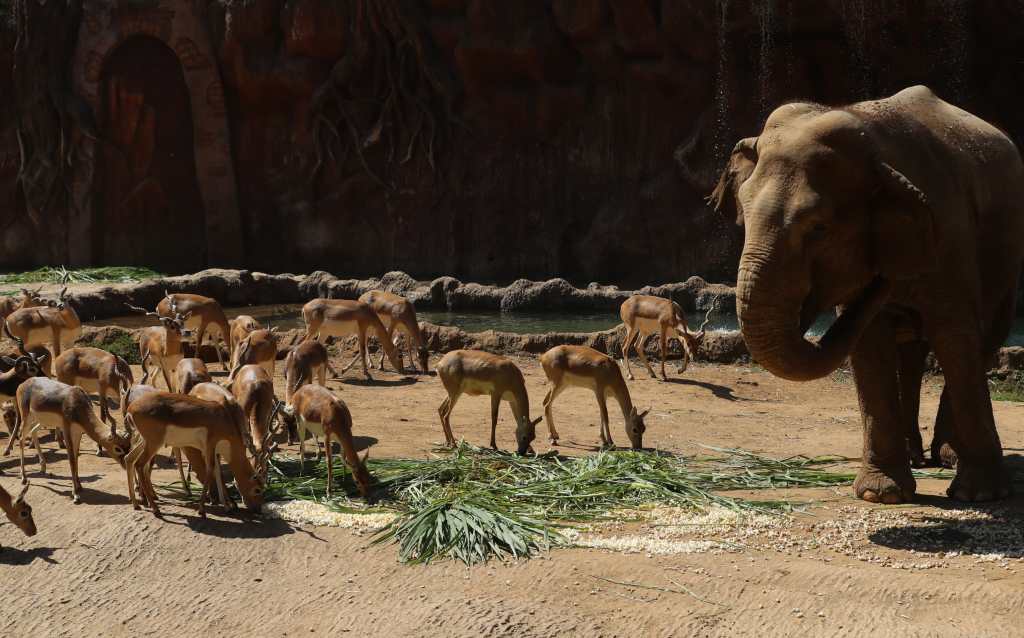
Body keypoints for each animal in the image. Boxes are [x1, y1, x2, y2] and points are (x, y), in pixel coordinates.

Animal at [708, 86, 1024, 503]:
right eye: (743, 215)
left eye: (818, 229)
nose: (885, 277)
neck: (872, 141)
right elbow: (871, 344)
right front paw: (881, 495)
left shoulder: (950, 237)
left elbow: (955, 338)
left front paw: (979, 496)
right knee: (911, 352)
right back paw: (917, 456)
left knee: (982, 338)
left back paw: (947, 457)